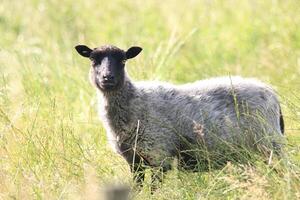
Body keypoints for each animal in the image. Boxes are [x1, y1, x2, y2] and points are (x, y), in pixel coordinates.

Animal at [74, 44, 284, 189]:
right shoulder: (135, 161)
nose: (107, 78)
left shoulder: (159, 156)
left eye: (123, 61)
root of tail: (271, 93)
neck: (134, 102)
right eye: (93, 61)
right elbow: (138, 187)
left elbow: (154, 189)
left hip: (270, 144)